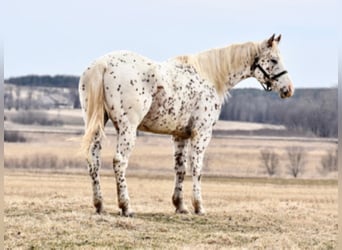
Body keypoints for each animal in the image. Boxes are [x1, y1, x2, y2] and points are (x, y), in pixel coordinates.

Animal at [78, 34, 294, 216]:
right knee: (119, 161)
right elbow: (196, 168)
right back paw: (126, 207)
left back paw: (100, 205)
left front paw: (180, 206)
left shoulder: (180, 136)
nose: (288, 89)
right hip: (128, 129)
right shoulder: (201, 133)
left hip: (96, 125)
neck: (209, 77)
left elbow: (180, 169)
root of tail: (103, 64)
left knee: (94, 160)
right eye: (273, 60)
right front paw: (199, 206)